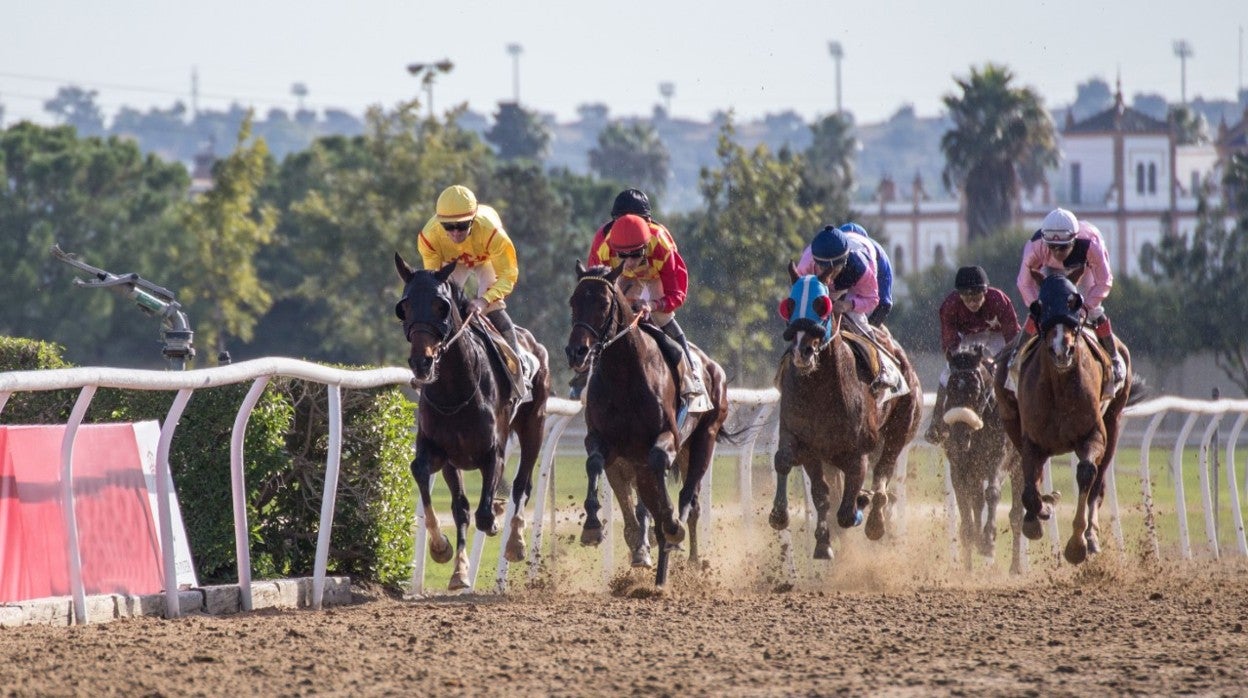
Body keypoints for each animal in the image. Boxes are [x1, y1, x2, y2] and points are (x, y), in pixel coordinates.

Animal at [389, 255, 546, 589]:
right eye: (404, 306)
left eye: (441, 305)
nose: (421, 362)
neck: (454, 391)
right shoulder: (441, 452)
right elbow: (440, 492)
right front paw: (446, 554)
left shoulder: (493, 453)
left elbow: (485, 514)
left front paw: (497, 518)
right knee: (464, 506)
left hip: (534, 427)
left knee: (521, 484)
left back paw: (516, 542)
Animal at [566, 259, 728, 586]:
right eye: (573, 301)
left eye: (603, 303)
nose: (577, 352)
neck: (623, 375)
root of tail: (713, 367)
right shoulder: (603, 440)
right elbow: (593, 463)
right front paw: (592, 525)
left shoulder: (667, 438)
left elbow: (659, 469)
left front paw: (670, 524)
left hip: (704, 439)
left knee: (689, 499)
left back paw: (685, 553)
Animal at [768, 264, 928, 559]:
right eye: (789, 304)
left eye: (822, 305)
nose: (802, 351)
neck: (820, 391)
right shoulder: (805, 442)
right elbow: (803, 478)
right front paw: (787, 520)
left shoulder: (858, 452)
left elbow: (846, 510)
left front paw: (859, 506)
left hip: (900, 431)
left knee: (882, 477)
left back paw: (874, 518)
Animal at [938, 344, 1018, 574]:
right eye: (950, 389)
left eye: (975, 391)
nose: (959, 436)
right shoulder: (959, 466)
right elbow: (965, 503)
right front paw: (969, 561)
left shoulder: (999, 458)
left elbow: (992, 493)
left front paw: (988, 541)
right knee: (976, 501)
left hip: (1019, 466)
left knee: (1017, 514)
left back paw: (1016, 567)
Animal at [993, 275, 1133, 564]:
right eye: (1040, 307)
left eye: (1074, 304)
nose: (1061, 350)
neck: (1059, 386)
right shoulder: (1031, 440)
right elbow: (1029, 489)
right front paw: (1038, 514)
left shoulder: (1093, 434)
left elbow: (1086, 472)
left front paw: (1078, 544)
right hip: (1010, 417)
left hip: (1114, 421)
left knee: (1098, 484)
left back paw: (1092, 536)